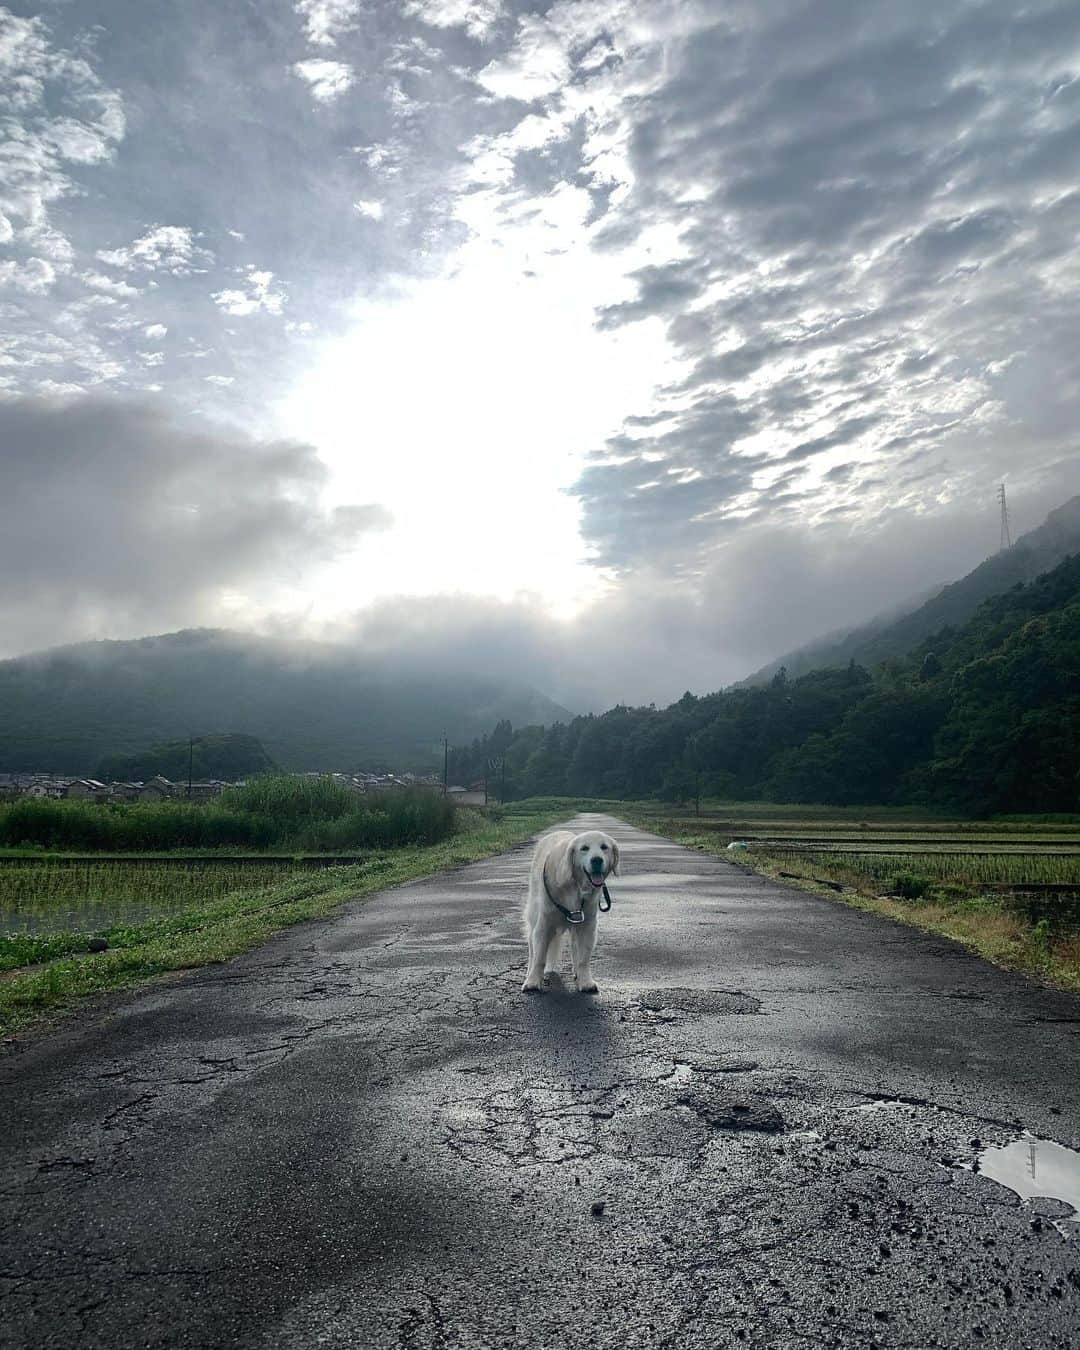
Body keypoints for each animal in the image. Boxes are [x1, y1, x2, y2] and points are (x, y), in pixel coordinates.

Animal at [521, 820, 615, 993]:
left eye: (604, 847)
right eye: (584, 848)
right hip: (533, 916)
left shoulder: (587, 924)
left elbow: (583, 958)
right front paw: (533, 981)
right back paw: (529, 971)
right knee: (531, 948)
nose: (597, 860)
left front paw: (586, 981)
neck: (574, 885)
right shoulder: (544, 924)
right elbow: (539, 958)